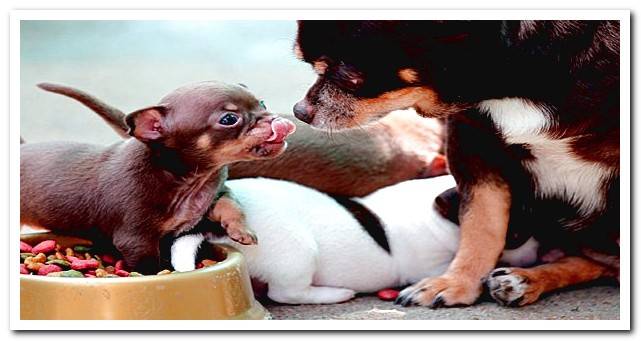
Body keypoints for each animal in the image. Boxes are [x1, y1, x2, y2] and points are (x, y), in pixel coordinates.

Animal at [21, 81, 296, 272]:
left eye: (262, 103)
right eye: (229, 119)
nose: (278, 121)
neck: (188, 180)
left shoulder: (215, 195)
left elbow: (231, 206)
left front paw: (242, 230)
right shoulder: (136, 240)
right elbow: (150, 265)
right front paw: (164, 274)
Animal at [292, 21, 616, 308]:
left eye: (348, 76)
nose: (299, 111)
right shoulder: (472, 144)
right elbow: (481, 225)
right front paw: (457, 283)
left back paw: (526, 279)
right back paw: (523, 280)